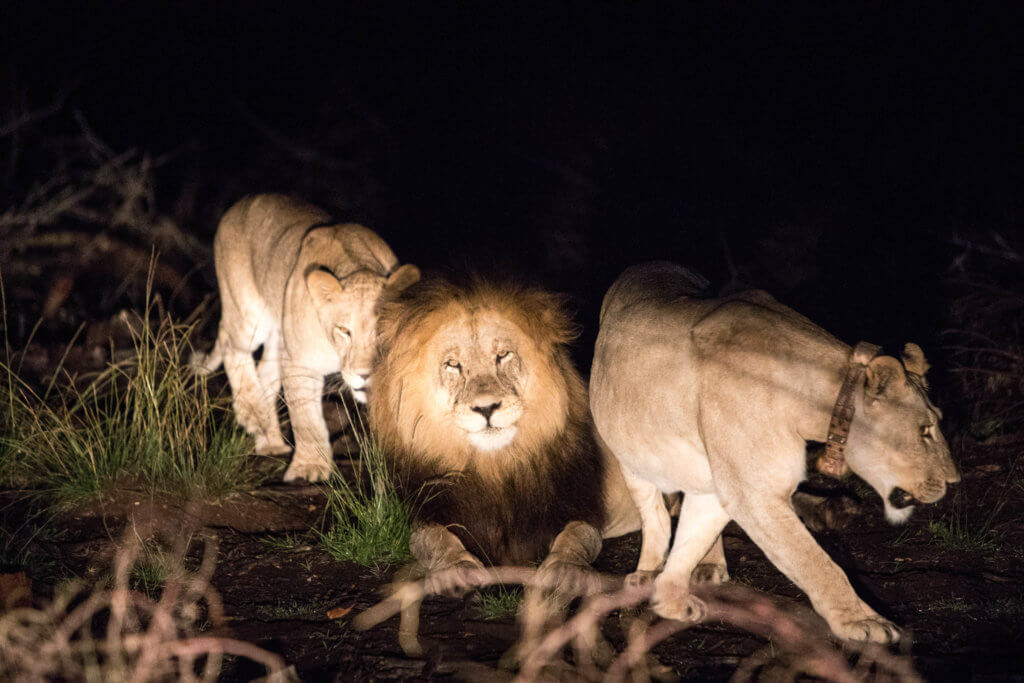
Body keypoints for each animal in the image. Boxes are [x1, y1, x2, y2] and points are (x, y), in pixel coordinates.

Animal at [193, 194, 419, 482]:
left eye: (382, 330)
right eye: (344, 331)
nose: (365, 375)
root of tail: (243, 202)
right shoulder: (300, 363)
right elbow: (307, 419)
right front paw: (308, 468)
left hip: (280, 332)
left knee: (265, 373)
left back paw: (269, 440)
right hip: (247, 314)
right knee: (233, 349)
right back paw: (252, 414)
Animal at [367, 275, 640, 654]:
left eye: (503, 355)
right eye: (453, 364)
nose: (486, 408)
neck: (494, 465)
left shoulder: (578, 505)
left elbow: (579, 537)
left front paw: (563, 570)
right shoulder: (432, 507)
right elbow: (429, 538)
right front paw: (456, 566)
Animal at [590, 261, 960, 643]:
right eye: (925, 431)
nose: (954, 481)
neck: (818, 402)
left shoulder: (731, 483)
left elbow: (695, 535)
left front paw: (672, 600)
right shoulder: (755, 493)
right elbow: (815, 562)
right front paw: (863, 622)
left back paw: (708, 566)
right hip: (629, 452)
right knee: (655, 515)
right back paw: (647, 573)